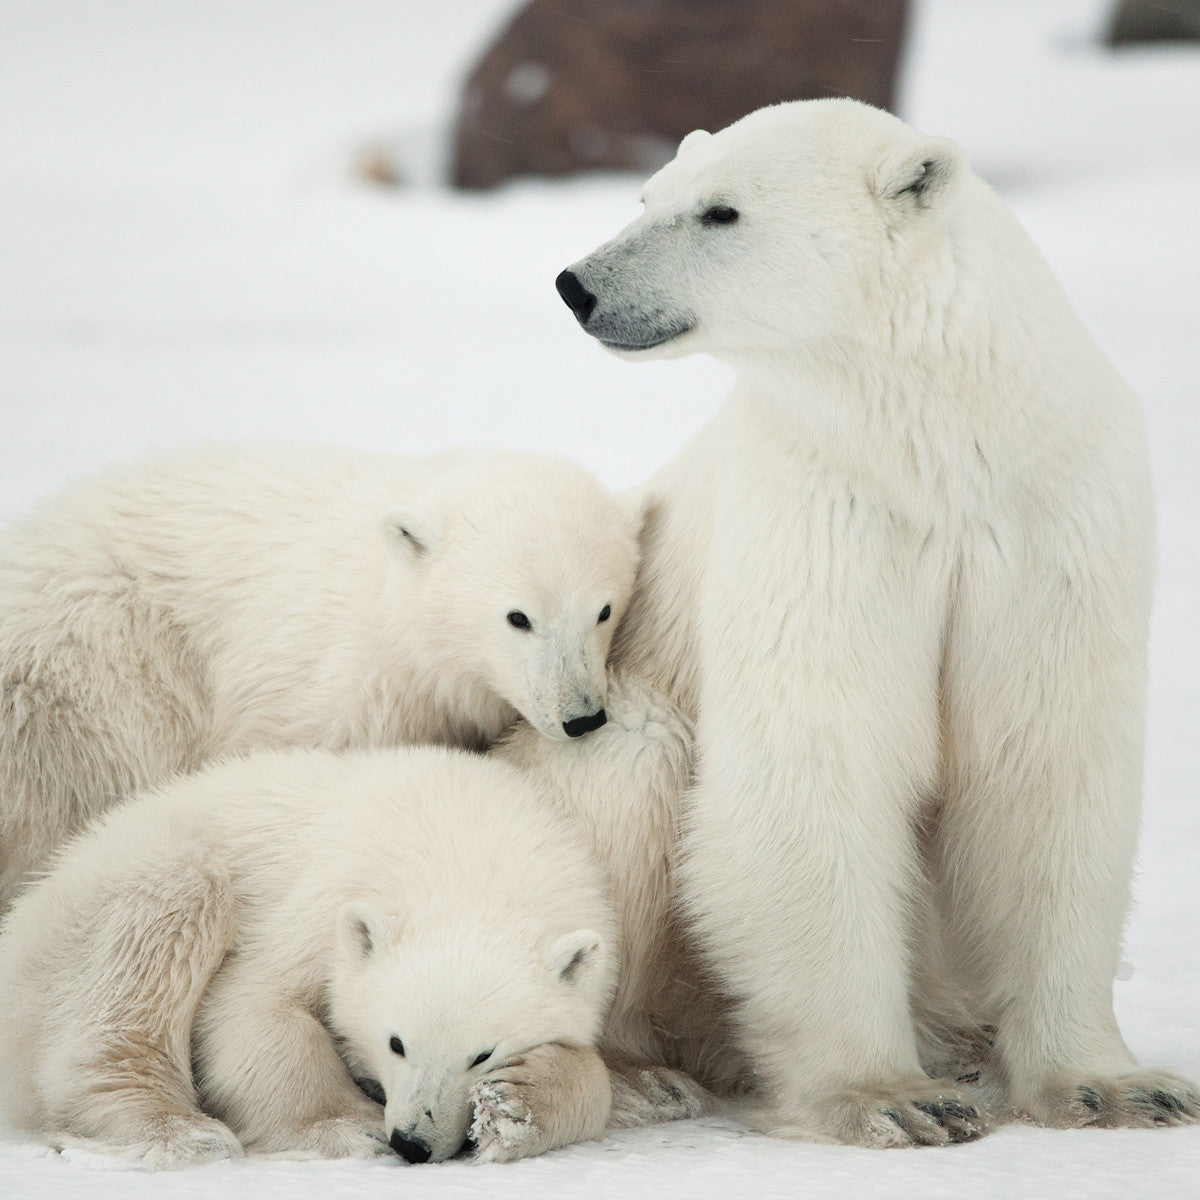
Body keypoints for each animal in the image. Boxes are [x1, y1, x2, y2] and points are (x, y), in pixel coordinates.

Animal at [554, 98, 1200, 1137]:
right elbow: (821, 757)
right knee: (633, 763)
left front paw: (1114, 1085)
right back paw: (637, 1074)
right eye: (648, 196)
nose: (578, 284)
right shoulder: (824, 510)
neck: (935, 437)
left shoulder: (1048, 516)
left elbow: (1042, 764)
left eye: (720, 212)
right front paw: (894, 1098)